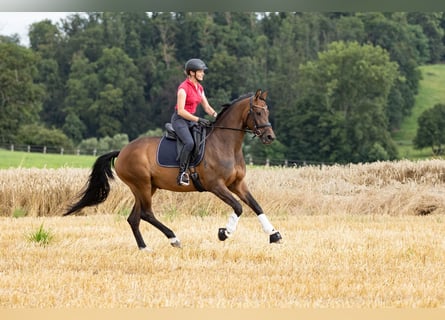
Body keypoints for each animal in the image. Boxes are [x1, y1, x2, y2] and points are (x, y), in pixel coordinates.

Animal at [63, 89, 280, 250]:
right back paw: (174, 238)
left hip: (147, 187)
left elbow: (256, 206)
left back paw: (144, 247)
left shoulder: (237, 184)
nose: (270, 137)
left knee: (134, 218)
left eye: (267, 112)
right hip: (141, 184)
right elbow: (239, 207)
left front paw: (274, 234)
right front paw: (224, 233)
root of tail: (123, 150)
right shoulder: (216, 185)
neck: (226, 144)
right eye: (258, 113)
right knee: (146, 214)